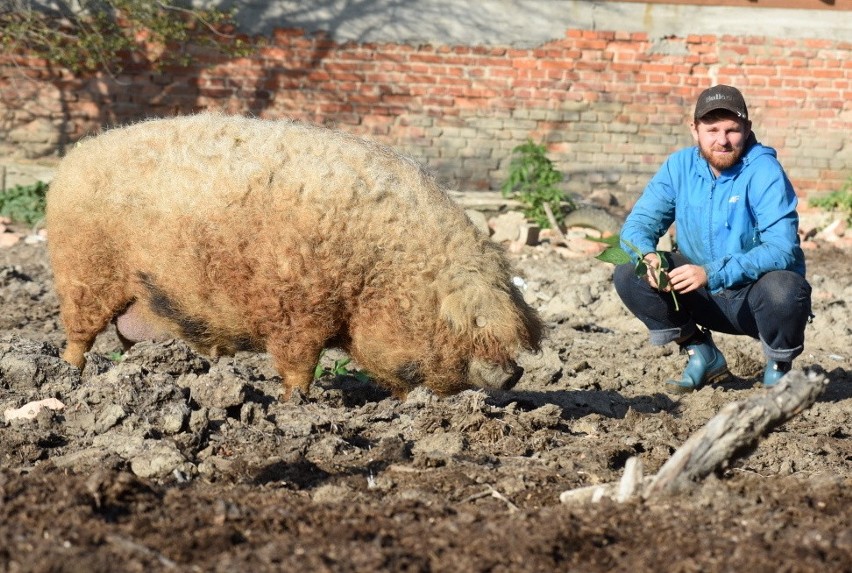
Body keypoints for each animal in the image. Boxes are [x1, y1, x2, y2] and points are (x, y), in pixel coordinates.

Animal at [45, 111, 544, 398]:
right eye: (467, 323)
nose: (514, 374)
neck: (375, 272)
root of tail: (73, 159)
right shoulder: (298, 310)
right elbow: (300, 365)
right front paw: (296, 405)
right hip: (84, 272)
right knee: (79, 335)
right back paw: (70, 377)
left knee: (124, 340)